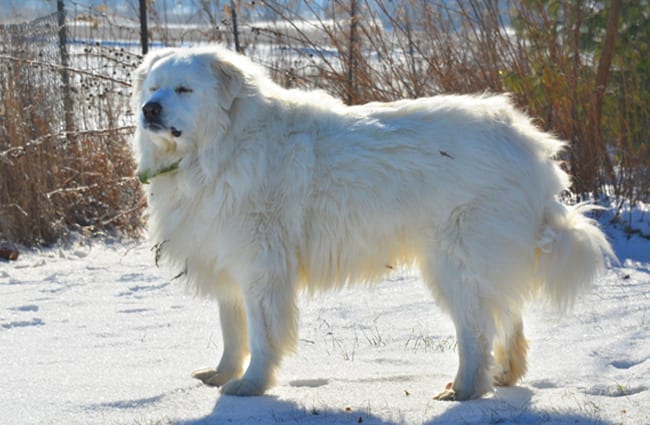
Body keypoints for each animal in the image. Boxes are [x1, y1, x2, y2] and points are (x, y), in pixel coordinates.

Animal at [133, 44, 612, 400]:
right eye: (154, 87)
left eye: (184, 89)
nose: (149, 109)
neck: (221, 145)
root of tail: (527, 142)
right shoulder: (226, 262)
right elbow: (233, 332)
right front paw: (222, 374)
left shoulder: (261, 268)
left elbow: (263, 334)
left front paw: (250, 385)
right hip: (488, 254)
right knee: (508, 314)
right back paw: (505, 375)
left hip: (456, 260)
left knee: (477, 328)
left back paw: (465, 388)